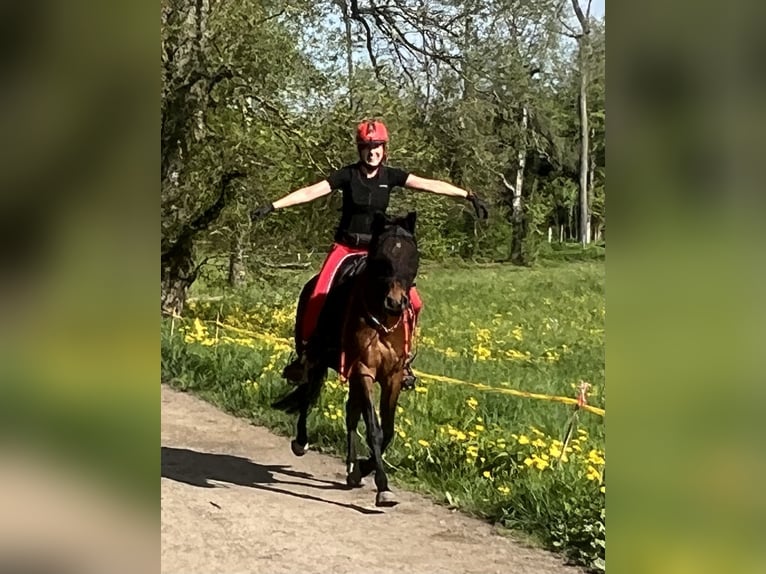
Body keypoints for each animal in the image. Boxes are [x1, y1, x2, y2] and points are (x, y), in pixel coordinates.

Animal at [272, 211, 419, 507]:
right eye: (381, 258)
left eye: (412, 257)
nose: (395, 303)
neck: (382, 320)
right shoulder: (364, 370)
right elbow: (374, 428)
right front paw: (382, 485)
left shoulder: (392, 375)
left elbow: (387, 429)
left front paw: (364, 468)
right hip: (317, 361)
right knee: (308, 393)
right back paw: (301, 441)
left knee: (350, 413)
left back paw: (352, 469)